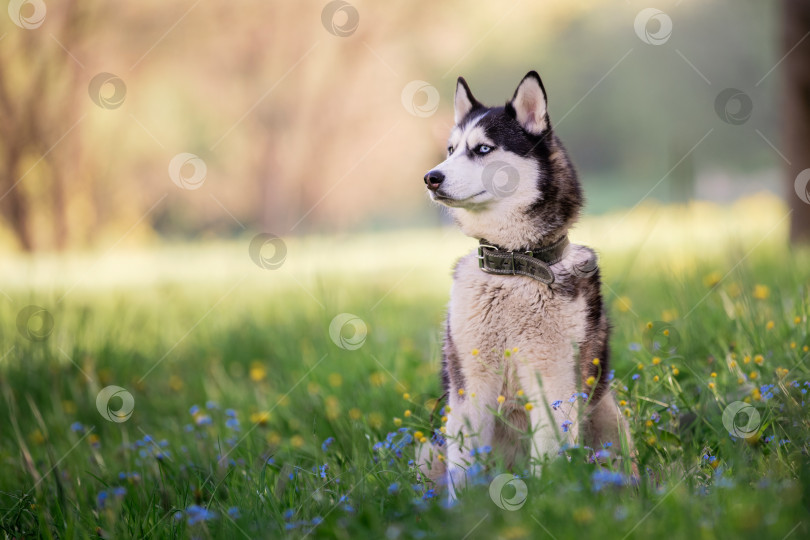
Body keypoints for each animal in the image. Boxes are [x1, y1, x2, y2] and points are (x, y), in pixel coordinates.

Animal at [416, 71, 632, 498]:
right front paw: (463, 508)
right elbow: (464, 466)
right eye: (450, 149)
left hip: (608, 412)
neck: (514, 266)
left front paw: (548, 498)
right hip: (429, 448)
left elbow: (549, 454)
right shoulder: (470, 386)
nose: (431, 177)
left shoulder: (554, 381)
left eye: (483, 149)